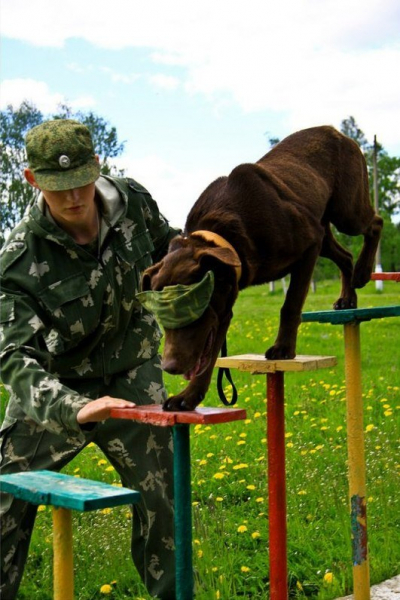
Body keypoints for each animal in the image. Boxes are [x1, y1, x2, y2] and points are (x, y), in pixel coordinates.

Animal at [141, 125, 382, 410]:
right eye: (161, 315)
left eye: (190, 309)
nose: (169, 367)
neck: (226, 233)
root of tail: (332, 129)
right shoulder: (222, 308)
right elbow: (209, 357)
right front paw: (188, 396)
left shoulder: (309, 246)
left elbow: (290, 304)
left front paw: (283, 349)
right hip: (325, 231)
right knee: (345, 256)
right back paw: (347, 298)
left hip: (345, 211)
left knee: (374, 223)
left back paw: (364, 272)